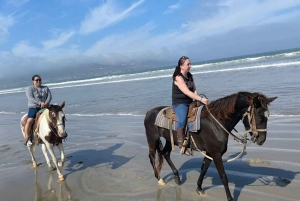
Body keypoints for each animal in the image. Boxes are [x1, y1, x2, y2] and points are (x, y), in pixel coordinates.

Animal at [144, 92, 278, 200]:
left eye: (268, 116)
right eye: (259, 117)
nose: (261, 140)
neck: (216, 122)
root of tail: (149, 112)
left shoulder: (210, 153)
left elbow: (204, 169)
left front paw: (199, 188)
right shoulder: (216, 154)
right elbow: (223, 177)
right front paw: (230, 198)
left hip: (168, 139)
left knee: (165, 153)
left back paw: (177, 177)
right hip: (152, 139)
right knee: (152, 156)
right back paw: (160, 179)